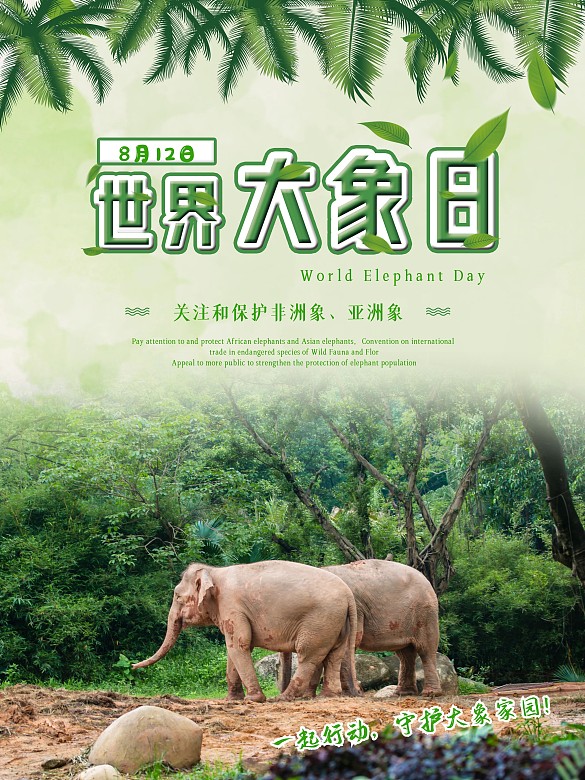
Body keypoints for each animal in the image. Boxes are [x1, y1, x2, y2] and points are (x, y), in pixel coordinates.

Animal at [132, 560, 358, 702]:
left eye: (178, 597)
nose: (133, 666)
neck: (213, 571)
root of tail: (349, 594)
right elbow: (234, 649)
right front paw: (232, 699)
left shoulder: (231, 606)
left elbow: (239, 645)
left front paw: (253, 699)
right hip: (337, 623)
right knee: (334, 655)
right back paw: (328, 696)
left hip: (320, 620)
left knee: (308, 656)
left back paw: (283, 698)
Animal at [278, 559, 442, 696]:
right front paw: (309, 696)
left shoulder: (354, 608)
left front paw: (351, 693)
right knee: (405, 653)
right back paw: (403, 693)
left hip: (425, 613)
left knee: (425, 649)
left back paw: (430, 694)